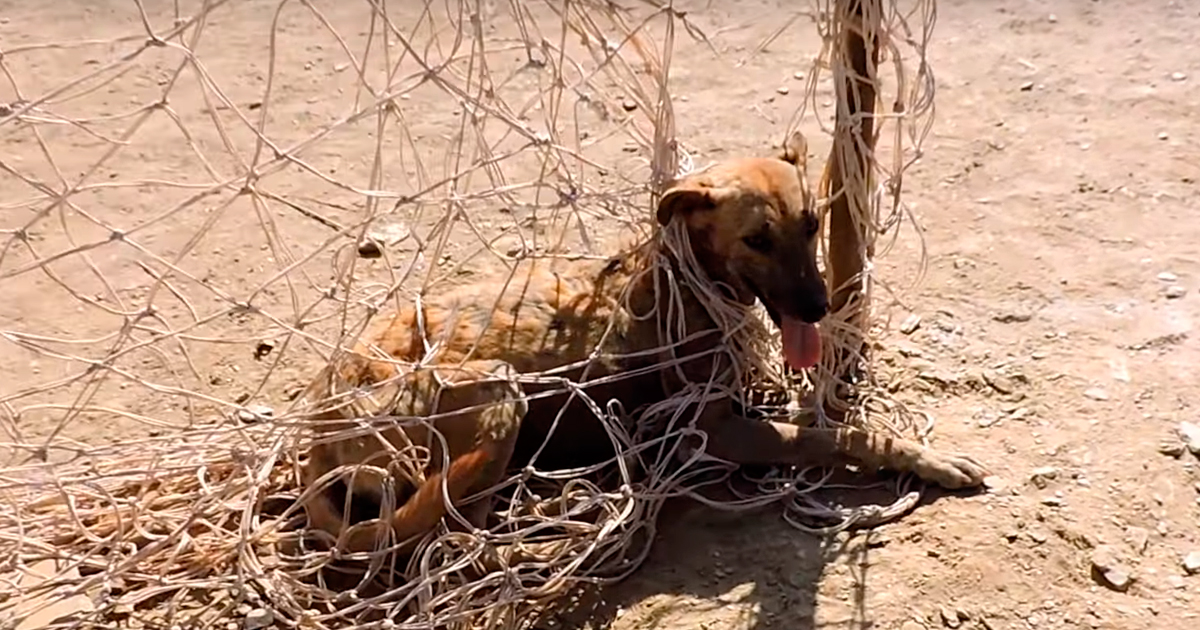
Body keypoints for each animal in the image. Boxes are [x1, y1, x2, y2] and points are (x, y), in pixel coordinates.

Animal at [295, 131, 988, 549]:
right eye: (757, 240)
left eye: (813, 224)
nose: (819, 307)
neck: (684, 276)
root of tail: (317, 423)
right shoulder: (714, 431)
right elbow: (840, 435)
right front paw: (922, 456)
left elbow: (828, 419)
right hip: (498, 394)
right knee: (451, 525)